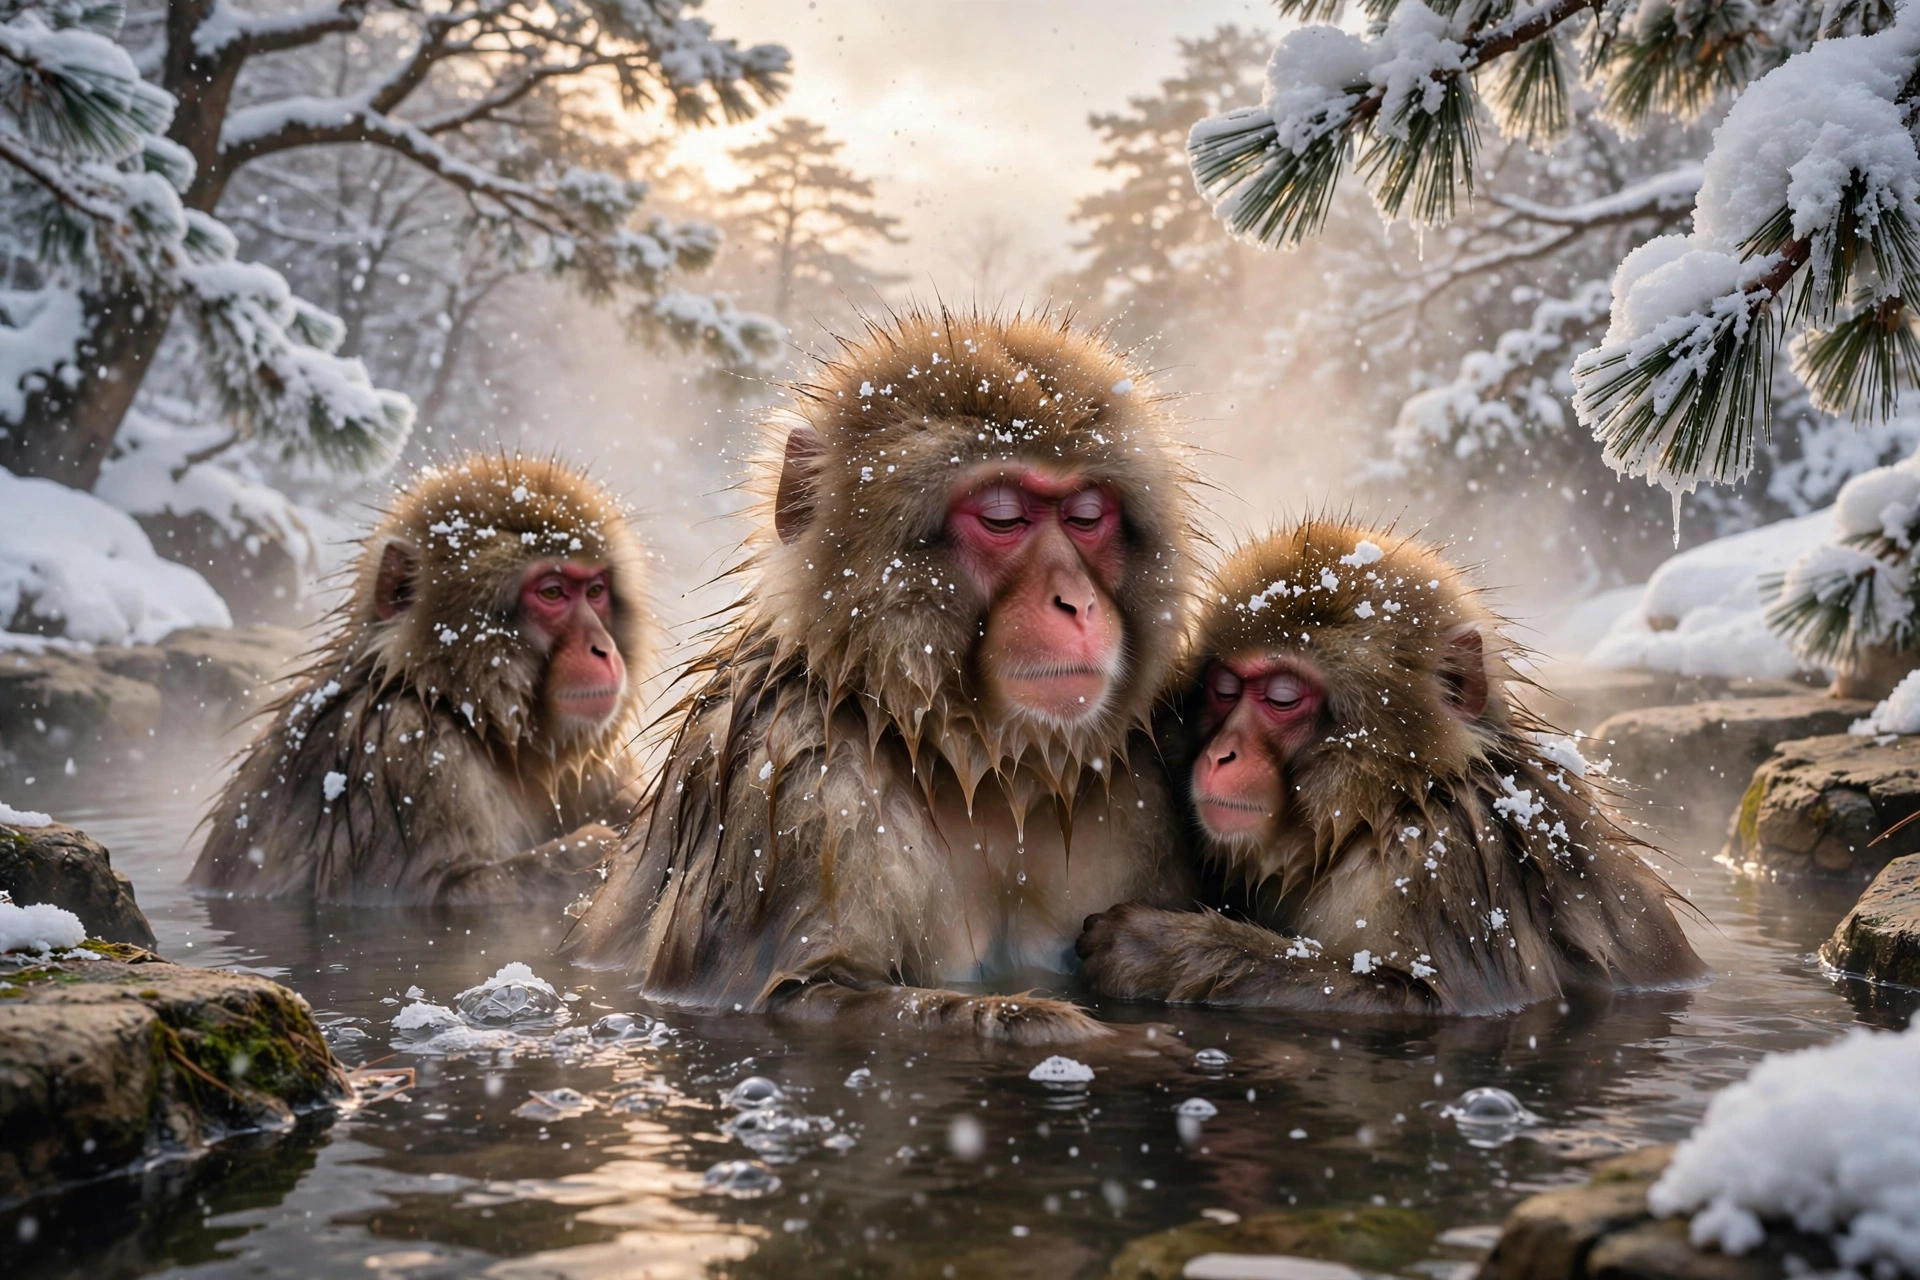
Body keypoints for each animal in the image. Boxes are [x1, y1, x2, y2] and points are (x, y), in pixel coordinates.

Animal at [191, 454, 650, 905]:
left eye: (595, 591)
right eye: (552, 593)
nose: (602, 648)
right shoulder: (406, 752)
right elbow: (427, 893)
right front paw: (603, 845)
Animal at [566, 309, 1200, 1044]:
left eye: (1087, 516)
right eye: (1003, 517)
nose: (1077, 601)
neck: (974, 764)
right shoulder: (799, 787)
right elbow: (793, 995)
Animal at [1076, 522, 1707, 1016]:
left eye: (1282, 698)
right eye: (1224, 689)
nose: (1220, 753)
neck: (1385, 805)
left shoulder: (1440, 865)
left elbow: (1427, 1001)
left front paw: (1147, 948)